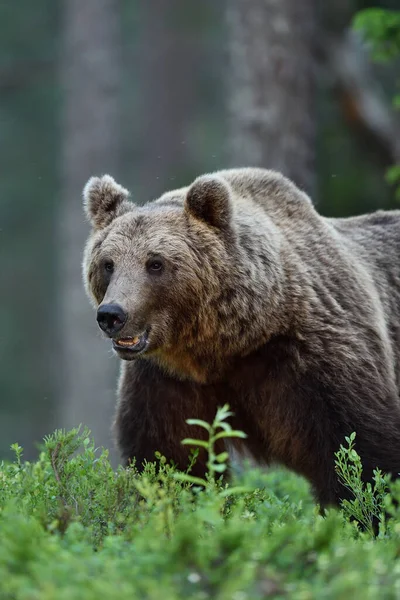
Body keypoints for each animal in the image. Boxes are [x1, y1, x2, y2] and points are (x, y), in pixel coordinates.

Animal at [83, 170, 400, 510]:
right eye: (108, 263)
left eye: (155, 263)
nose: (112, 315)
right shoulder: (167, 381)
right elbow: (169, 457)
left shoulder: (316, 354)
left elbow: (360, 453)